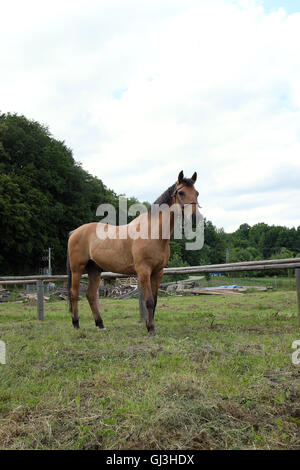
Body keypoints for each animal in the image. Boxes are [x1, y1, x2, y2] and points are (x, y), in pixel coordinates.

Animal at [67, 171, 200, 336]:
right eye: (181, 193)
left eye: (197, 193)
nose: (195, 218)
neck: (153, 233)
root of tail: (75, 232)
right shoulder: (143, 271)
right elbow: (149, 301)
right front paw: (151, 330)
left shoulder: (158, 272)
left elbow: (155, 301)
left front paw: (149, 326)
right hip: (77, 269)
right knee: (74, 294)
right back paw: (76, 324)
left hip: (95, 270)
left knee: (91, 295)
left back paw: (100, 324)